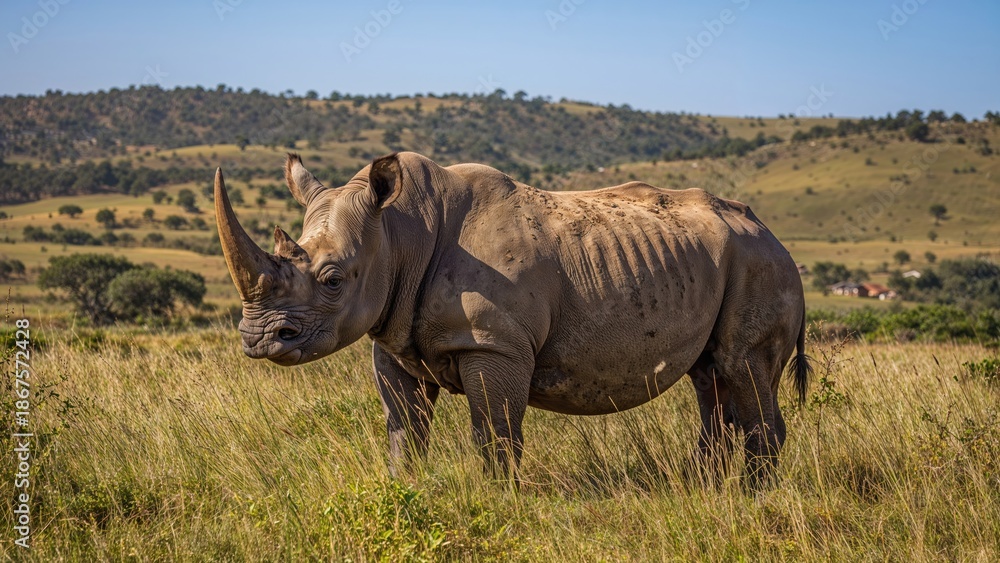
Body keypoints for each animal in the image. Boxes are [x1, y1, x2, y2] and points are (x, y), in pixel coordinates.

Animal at [214, 152, 810, 488]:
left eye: (334, 279)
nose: (258, 339)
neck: (399, 232)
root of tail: (774, 235)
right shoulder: (393, 339)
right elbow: (404, 430)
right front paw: (405, 491)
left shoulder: (493, 344)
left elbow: (495, 433)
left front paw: (499, 501)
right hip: (729, 261)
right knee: (711, 376)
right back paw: (707, 491)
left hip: (761, 265)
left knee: (742, 367)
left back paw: (754, 499)